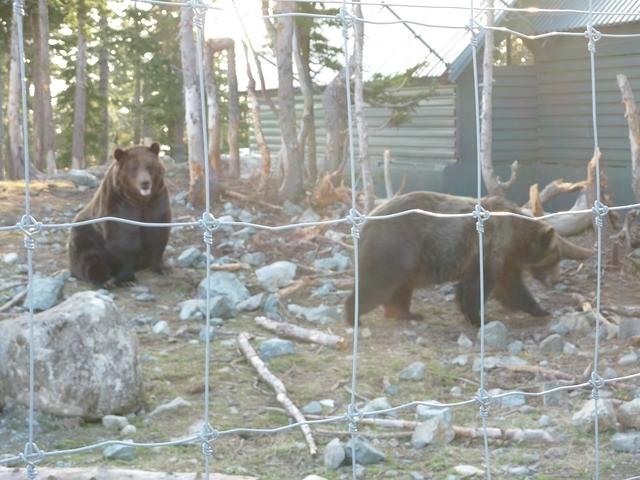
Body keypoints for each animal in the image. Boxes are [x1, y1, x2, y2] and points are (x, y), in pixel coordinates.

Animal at [69, 142, 171, 284]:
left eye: (149, 166)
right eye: (134, 168)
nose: (145, 183)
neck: (140, 201)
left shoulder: (156, 202)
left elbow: (157, 234)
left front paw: (162, 268)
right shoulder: (118, 205)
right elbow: (122, 241)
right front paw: (127, 280)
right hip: (85, 235)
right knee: (89, 258)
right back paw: (103, 279)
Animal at [348, 191, 592, 326]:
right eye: (555, 259)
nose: (556, 280)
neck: (515, 238)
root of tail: (367, 220)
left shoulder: (505, 259)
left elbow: (511, 287)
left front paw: (540, 310)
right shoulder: (486, 249)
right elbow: (477, 286)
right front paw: (479, 318)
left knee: (399, 288)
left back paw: (407, 314)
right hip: (396, 247)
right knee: (377, 283)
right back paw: (353, 317)